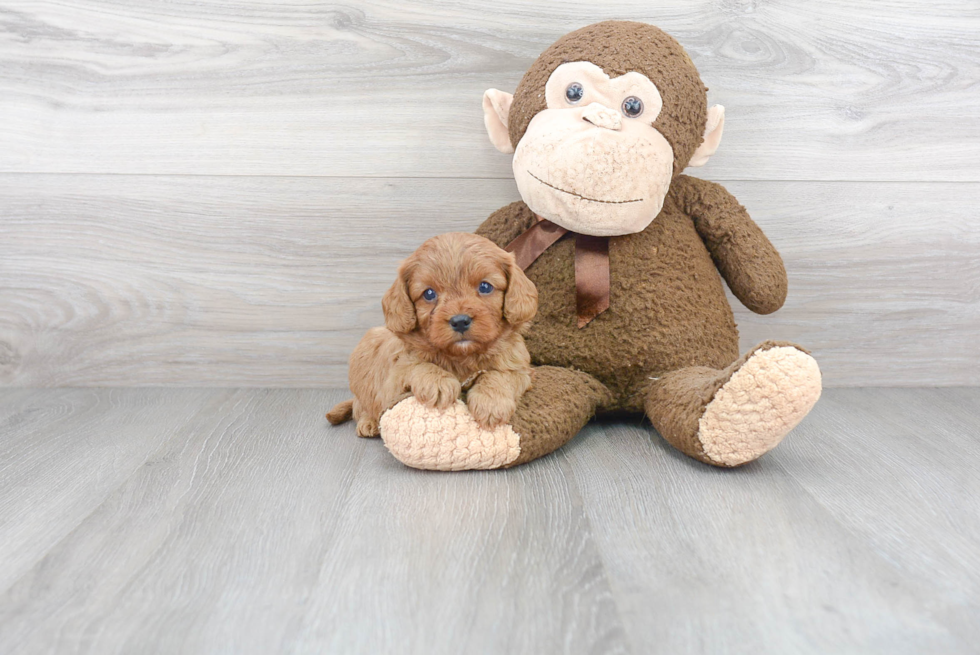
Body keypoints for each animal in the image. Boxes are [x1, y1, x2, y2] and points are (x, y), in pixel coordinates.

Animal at [328, 233, 536, 438]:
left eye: (485, 287)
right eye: (429, 293)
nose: (460, 321)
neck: (463, 356)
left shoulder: (521, 370)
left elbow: (500, 375)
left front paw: (491, 402)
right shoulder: (393, 381)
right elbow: (414, 364)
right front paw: (438, 381)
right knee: (361, 406)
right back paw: (368, 422)